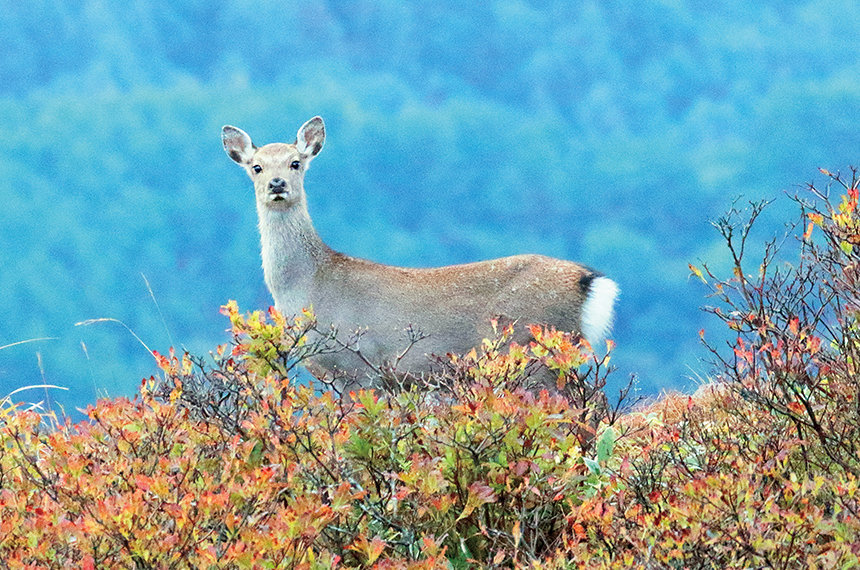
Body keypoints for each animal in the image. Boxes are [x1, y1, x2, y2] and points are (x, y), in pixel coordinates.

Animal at [218, 115, 616, 386]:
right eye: (256, 166)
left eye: (296, 162)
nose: (277, 183)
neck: (309, 286)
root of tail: (588, 280)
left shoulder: (361, 365)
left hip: (534, 350)